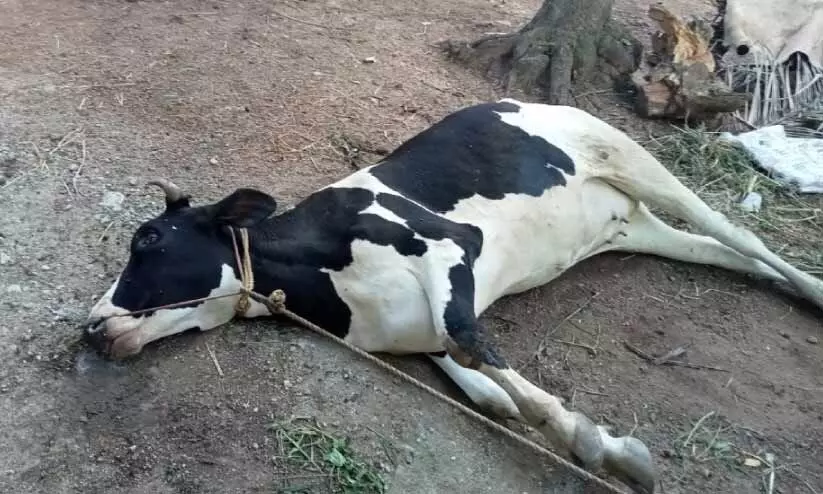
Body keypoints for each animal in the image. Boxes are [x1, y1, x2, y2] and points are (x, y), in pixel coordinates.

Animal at [84, 98, 823, 494]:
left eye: (148, 238)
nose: (90, 327)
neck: (332, 296)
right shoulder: (413, 329)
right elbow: (478, 377)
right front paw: (535, 414)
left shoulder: (452, 244)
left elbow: (466, 336)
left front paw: (600, 447)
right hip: (631, 227)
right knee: (723, 253)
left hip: (633, 160)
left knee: (740, 235)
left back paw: (811, 289)